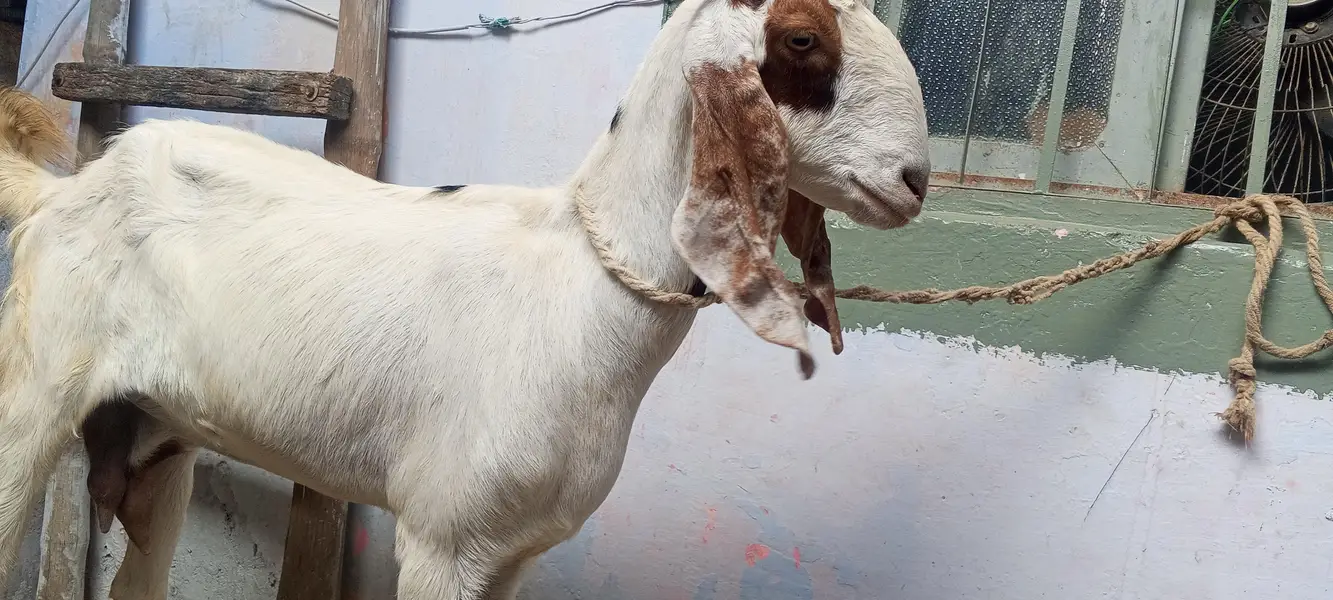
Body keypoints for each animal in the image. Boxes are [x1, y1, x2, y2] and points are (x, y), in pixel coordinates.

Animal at [0, 0, 930, 597]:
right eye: (803, 38)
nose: (914, 181)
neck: (578, 289)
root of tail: (64, 191)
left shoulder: (513, 552)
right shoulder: (443, 540)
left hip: (156, 443)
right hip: (30, 405)